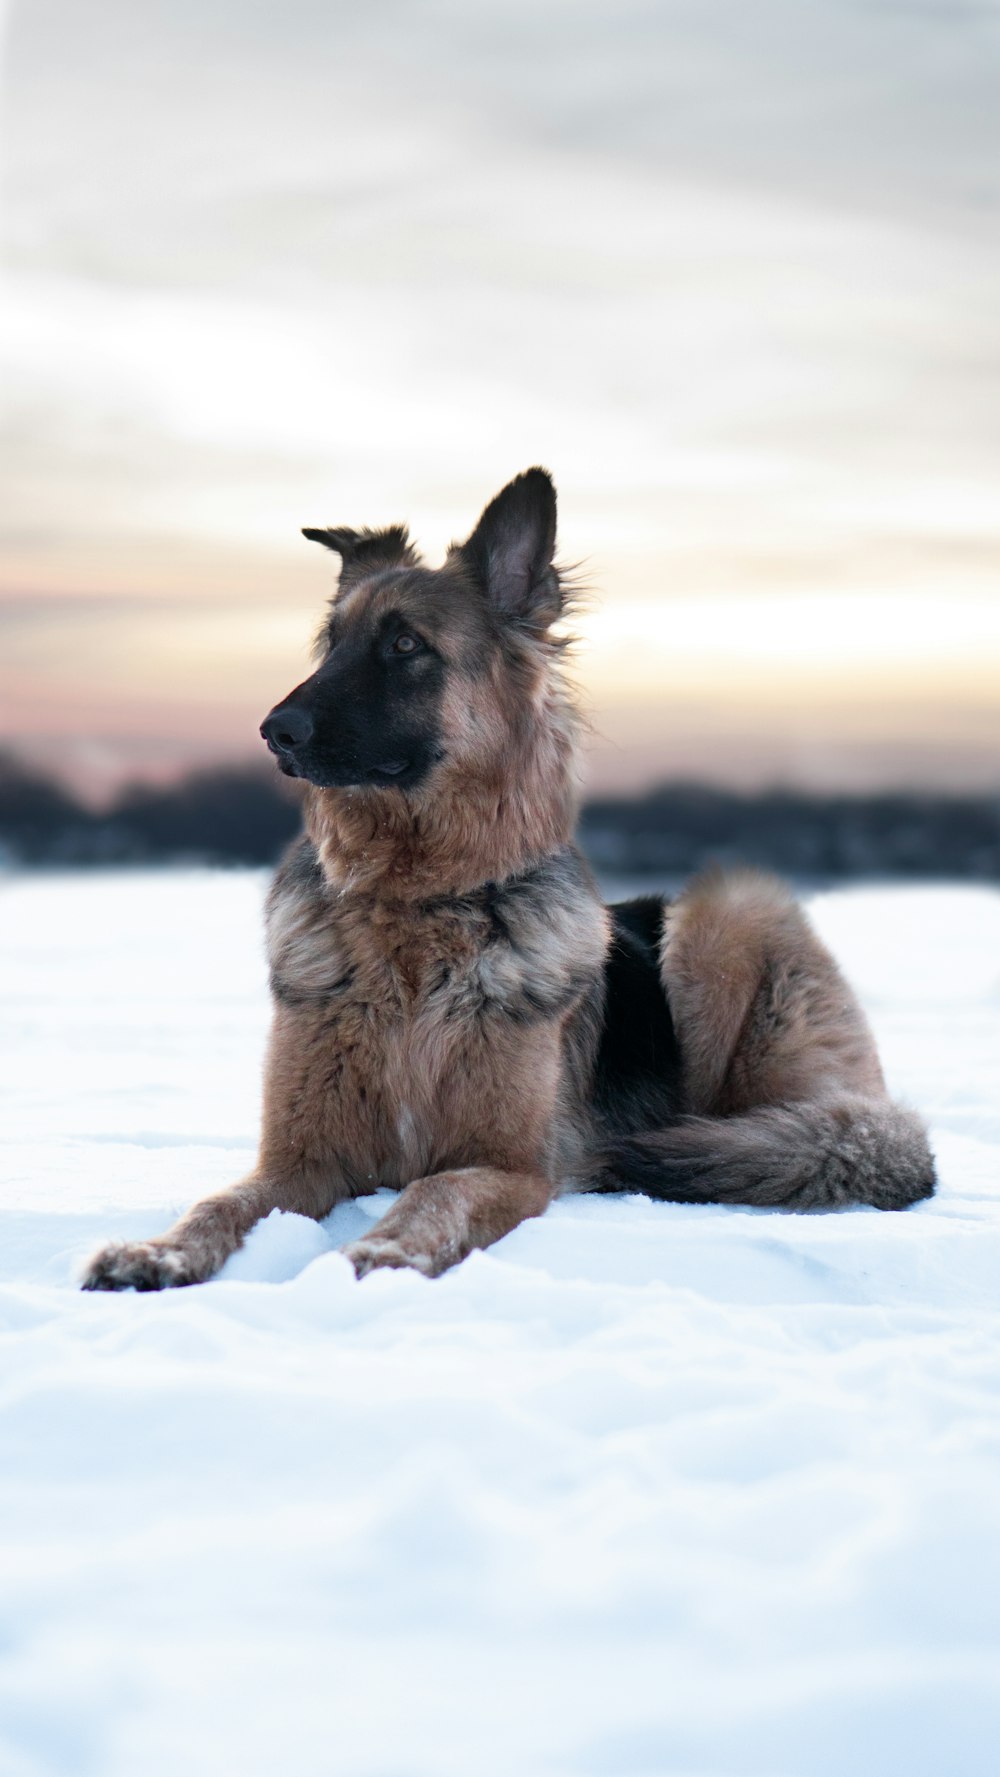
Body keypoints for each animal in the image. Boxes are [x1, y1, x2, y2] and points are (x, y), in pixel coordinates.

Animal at [82, 465, 937, 1293]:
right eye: (330, 644)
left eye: (404, 644)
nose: (274, 732)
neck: (417, 906)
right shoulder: (300, 1160)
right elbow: (218, 1202)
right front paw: (156, 1250)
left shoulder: (506, 1164)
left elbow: (436, 1192)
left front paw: (378, 1254)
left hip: (725, 910)